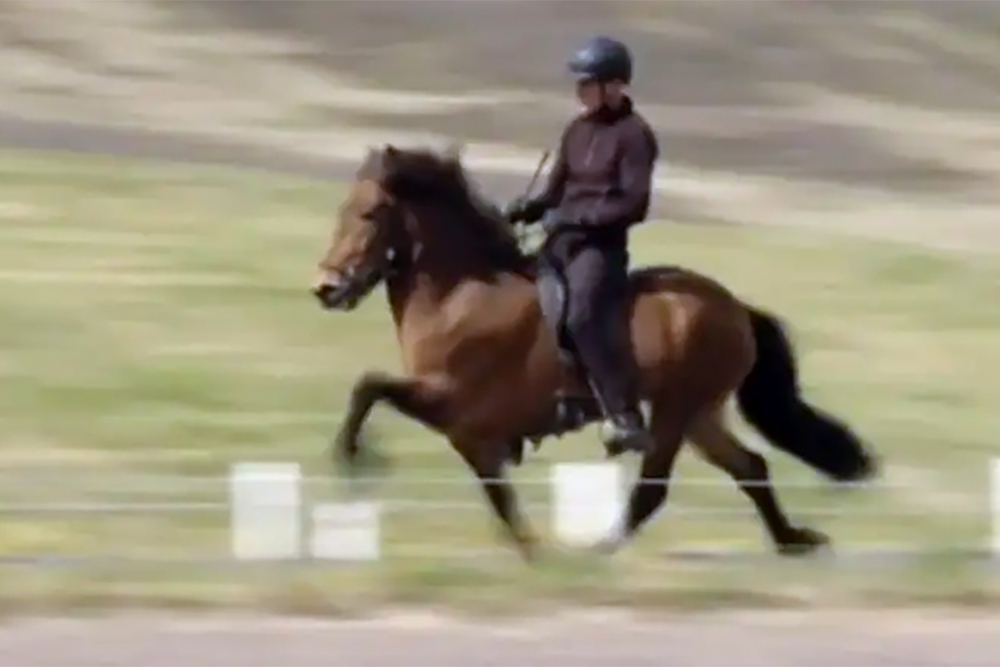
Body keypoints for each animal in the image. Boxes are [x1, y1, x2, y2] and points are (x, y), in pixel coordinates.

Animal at [312, 149, 876, 560]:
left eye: (369, 213)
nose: (326, 288)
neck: (461, 291)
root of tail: (735, 307)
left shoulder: (455, 409)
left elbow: (370, 385)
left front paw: (352, 456)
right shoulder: (469, 430)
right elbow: (494, 487)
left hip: (673, 412)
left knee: (653, 488)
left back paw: (598, 550)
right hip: (700, 415)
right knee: (751, 466)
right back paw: (793, 540)